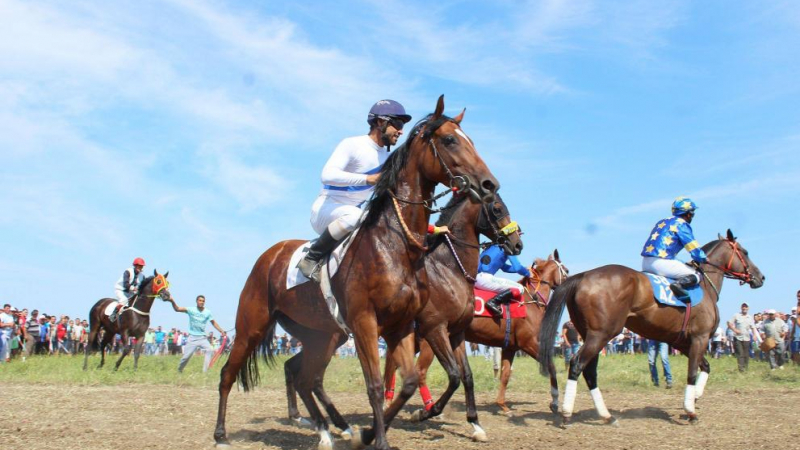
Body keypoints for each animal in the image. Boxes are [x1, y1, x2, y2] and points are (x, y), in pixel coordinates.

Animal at [212, 96, 500, 450]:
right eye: (449, 140)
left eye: (469, 139)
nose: (489, 184)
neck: (397, 247)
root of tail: (268, 256)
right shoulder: (374, 323)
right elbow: (375, 385)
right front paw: (381, 439)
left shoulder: (401, 326)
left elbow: (408, 382)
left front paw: (369, 432)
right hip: (251, 326)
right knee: (230, 373)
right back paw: (222, 435)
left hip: (322, 334)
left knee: (305, 376)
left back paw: (331, 429)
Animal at [536, 232, 764, 426]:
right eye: (744, 252)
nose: (760, 277)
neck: (705, 287)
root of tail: (583, 276)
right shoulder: (699, 338)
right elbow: (692, 372)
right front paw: (691, 411)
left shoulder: (682, 342)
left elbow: (705, 366)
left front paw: (695, 397)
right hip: (601, 335)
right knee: (577, 365)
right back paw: (567, 414)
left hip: (590, 335)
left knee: (589, 372)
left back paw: (607, 416)